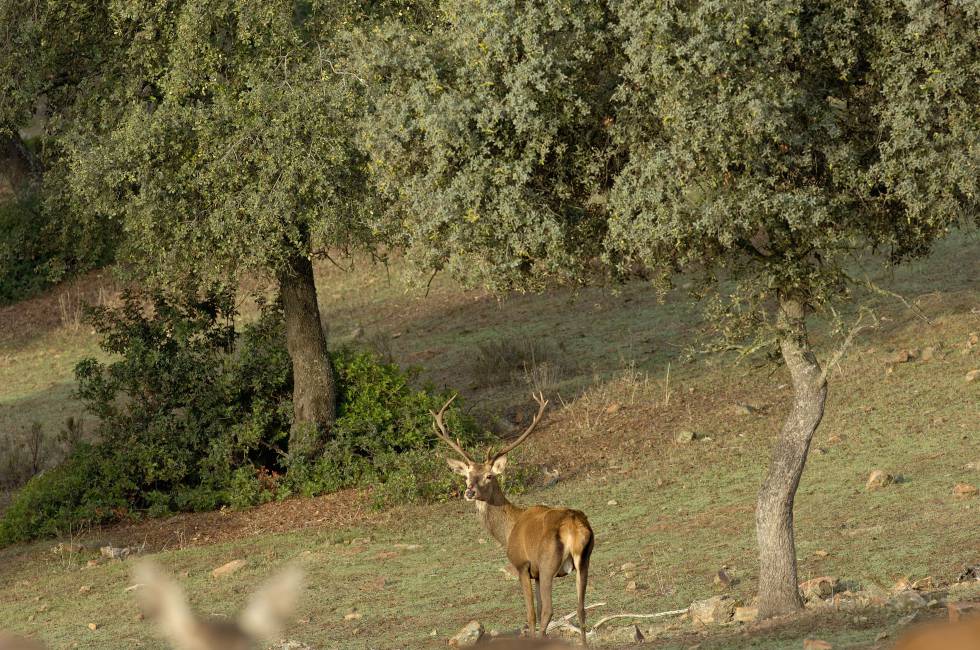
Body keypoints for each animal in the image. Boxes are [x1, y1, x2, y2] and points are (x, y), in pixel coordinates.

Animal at [432, 392, 594, 644]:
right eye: (467, 475)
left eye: (489, 476)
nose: (469, 492)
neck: (508, 531)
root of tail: (574, 526)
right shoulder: (536, 574)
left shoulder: (523, 565)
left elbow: (531, 613)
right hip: (584, 560)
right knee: (581, 610)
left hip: (548, 563)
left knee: (548, 611)